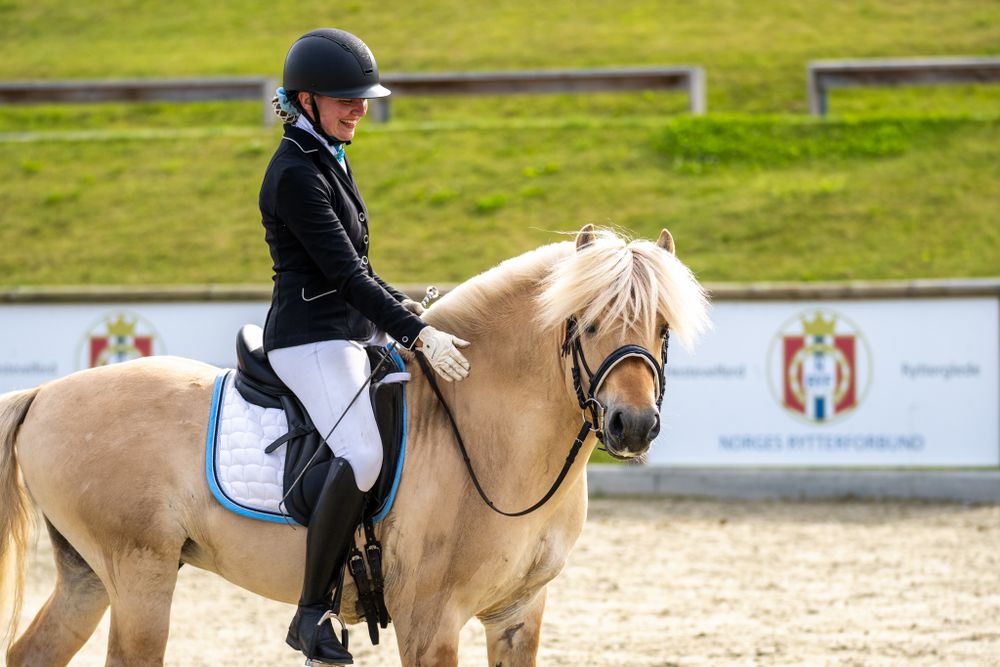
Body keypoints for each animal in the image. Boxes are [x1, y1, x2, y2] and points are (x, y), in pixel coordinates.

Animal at [0, 224, 709, 666]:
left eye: (663, 326)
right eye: (586, 323)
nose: (633, 426)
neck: (488, 435)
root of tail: (46, 393)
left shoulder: (517, 615)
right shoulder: (430, 621)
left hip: (90, 576)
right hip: (139, 575)